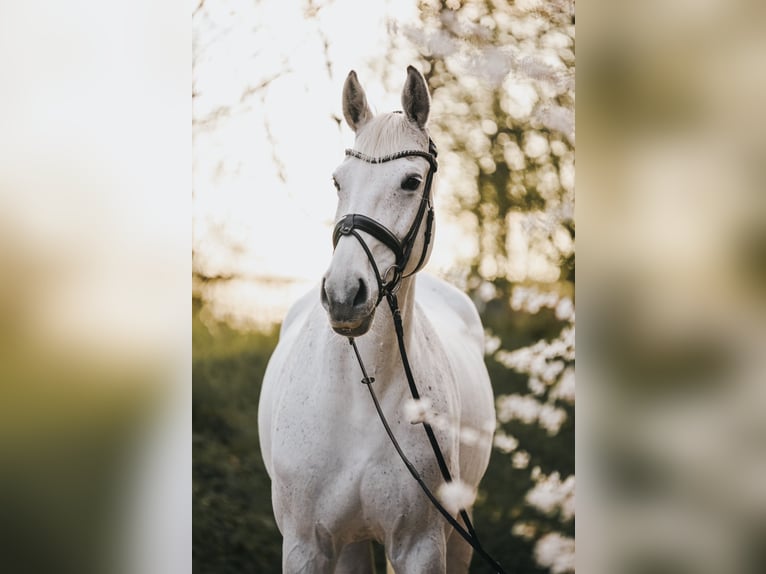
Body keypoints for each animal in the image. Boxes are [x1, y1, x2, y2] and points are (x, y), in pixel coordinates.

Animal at [258, 65, 498, 572]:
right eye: (337, 181)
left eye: (410, 181)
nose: (344, 295)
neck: (358, 395)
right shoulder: (306, 545)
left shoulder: (422, 545)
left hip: (459, 535)